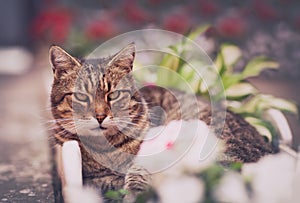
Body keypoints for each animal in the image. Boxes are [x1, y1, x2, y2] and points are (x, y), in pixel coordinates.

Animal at [48, 42, 274, 201]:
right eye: (81, 96)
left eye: (113, 95)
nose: (100, 116)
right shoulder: (90, 178)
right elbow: (107, 180)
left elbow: (136, 172)